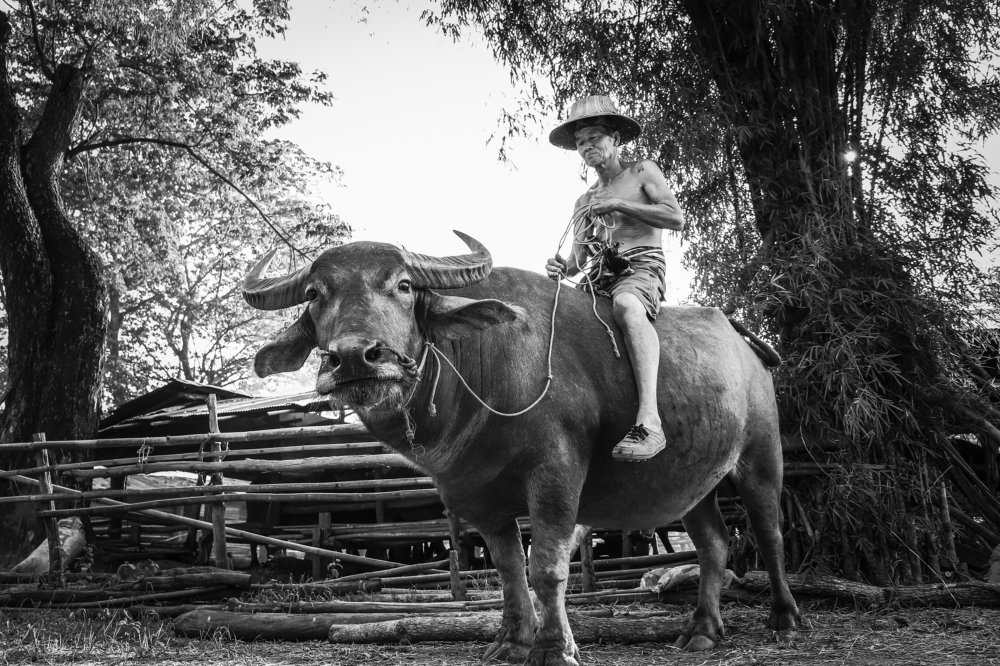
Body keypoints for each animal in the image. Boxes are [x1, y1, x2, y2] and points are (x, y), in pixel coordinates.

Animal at [243, 232, 801, 664]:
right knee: (714, 544)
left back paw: (785, 616)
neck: (481, 373)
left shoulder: (556, 476)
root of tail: (745, 345)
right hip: (692, 483)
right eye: (315, 294)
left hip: (760, 457)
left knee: (770, 532)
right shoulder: (475, 496)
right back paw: (702, 630)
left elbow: (547, 567)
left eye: (402, 286)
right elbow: (508, 569)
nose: (356, 357)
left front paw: (555, 648)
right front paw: (511, 642)